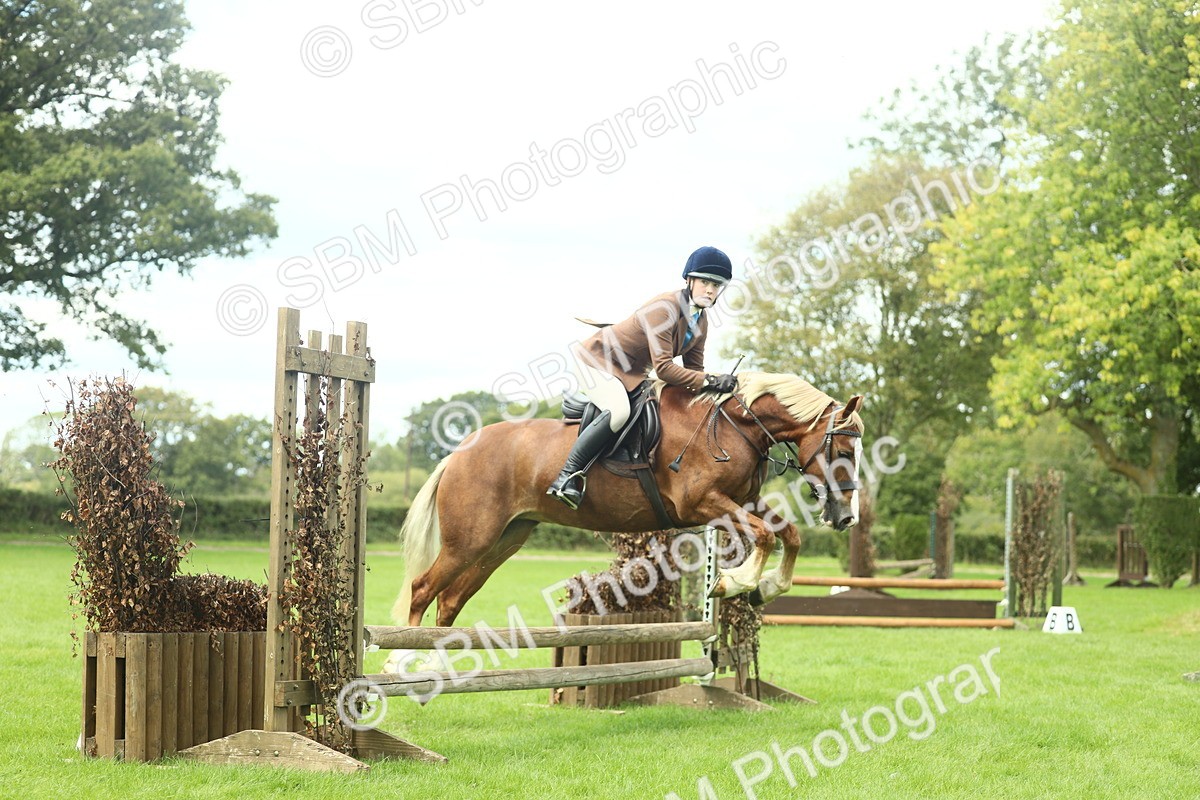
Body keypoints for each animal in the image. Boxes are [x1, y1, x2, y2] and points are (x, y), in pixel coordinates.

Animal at [389, 371, 864, 636]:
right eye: (843, 450)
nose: (846, 517)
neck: (735, 426)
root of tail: (458, 452)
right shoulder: (702, 503)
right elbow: (765, 535)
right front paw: (732, 582)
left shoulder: (741, 501)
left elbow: (790, 534)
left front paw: (764, 588)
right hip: (470, 540)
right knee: (423, 590)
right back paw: (405, 666)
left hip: (504, 539)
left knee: (450, 600)